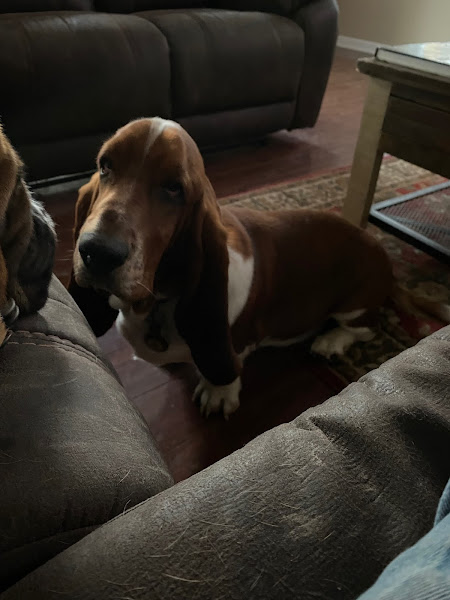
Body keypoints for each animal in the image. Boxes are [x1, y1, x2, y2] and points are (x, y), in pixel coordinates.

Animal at [70, 118, 450, 417]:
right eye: (105, 165)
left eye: (174, 188)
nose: (97, 252)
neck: (158, 300)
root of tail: (386, 261)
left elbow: (224, 372)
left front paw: (218, 393)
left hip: (352, 304)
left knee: (368, 326)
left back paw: (330, 341)